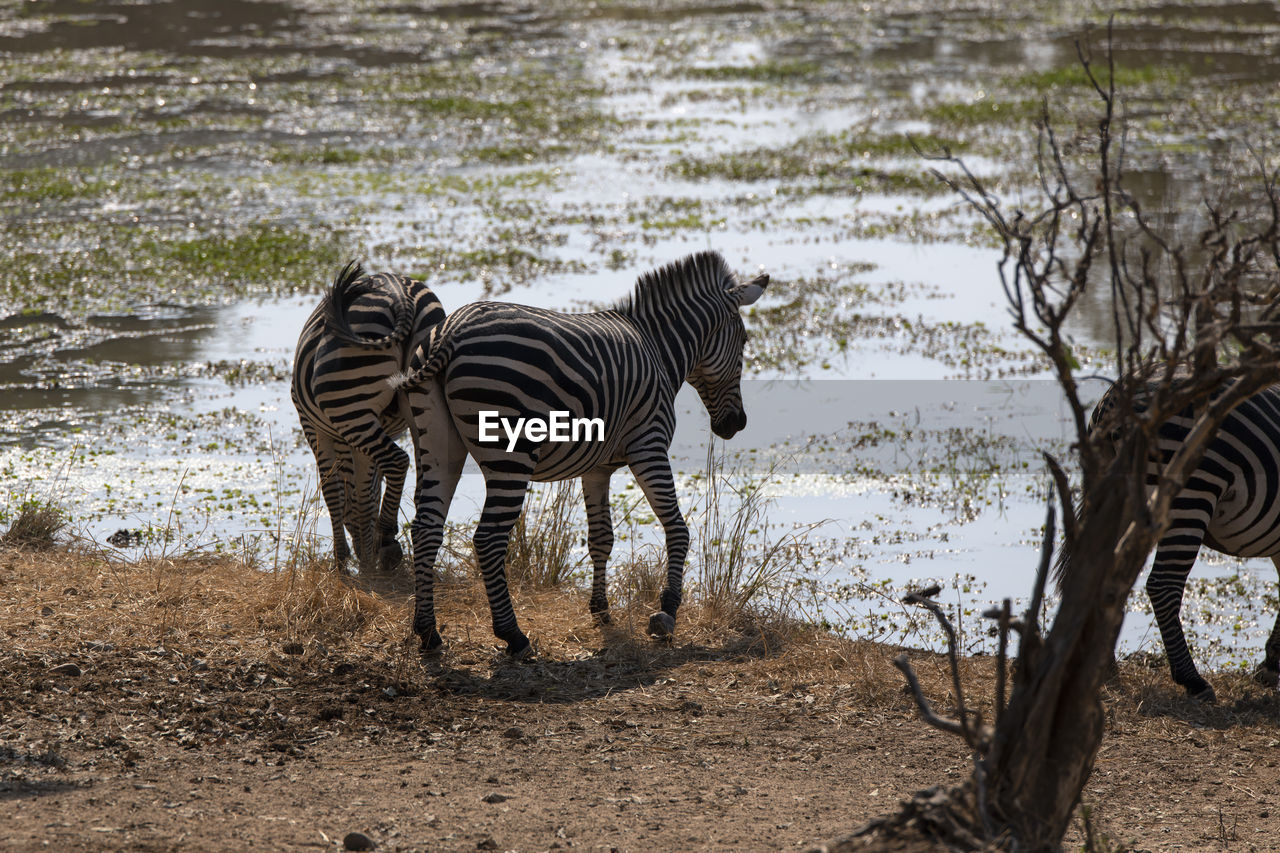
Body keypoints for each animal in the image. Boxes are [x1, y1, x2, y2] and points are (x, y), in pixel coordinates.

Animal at [293, 258, 448, 571]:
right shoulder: (369, 433)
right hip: (420, 406)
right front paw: (366, 552)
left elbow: (334, 492)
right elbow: (368, 490)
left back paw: (386, 540)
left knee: (398, 461)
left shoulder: (315, 429)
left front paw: (345, 561)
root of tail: (403, 296)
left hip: (352, 403)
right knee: (422, 475)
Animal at [389, 249, 768, 653]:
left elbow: (602, 537)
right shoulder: (648, 445)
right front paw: (666, 612)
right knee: (488, 539)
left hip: (436, 443)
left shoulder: (597, 467)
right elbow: (677, 528)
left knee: (426, 529)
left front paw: (601, 611)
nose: (737, 424)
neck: (658, 348)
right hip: (510, 452)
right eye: (744, 342)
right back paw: (513, 635)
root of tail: (451, 329)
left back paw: (428, 631)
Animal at [1075, 376, 1280, 696]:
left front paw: (1271, 663)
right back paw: (1192, 679)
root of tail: (1114, 400)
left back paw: (1103, 668)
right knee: (1163, 584)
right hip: (1191, 489)